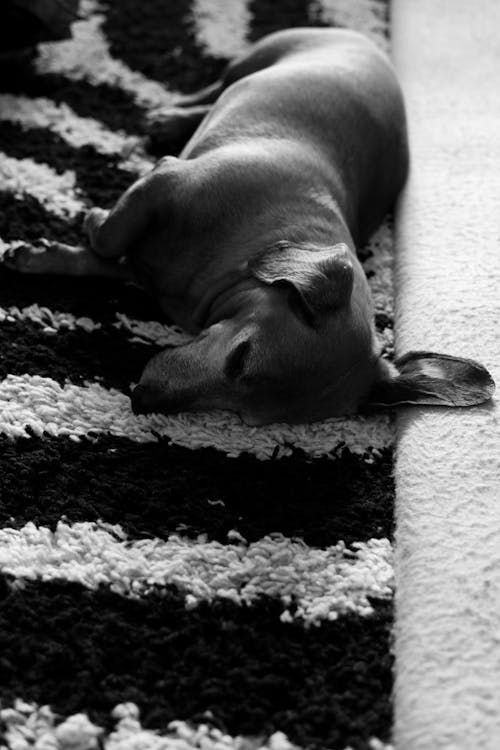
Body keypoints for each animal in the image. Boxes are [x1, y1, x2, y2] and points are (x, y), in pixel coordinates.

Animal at [3, 29, 494, 426]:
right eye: (241, 357)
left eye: (248, 417)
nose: (142, 400)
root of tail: (366, 41)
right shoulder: (164, 182)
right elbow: (109, 238)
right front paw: (88, 224)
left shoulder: (145, 269)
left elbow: (101, 260)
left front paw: (41, 255)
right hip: (254, 59)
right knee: (217, 83)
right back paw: (170, 115)